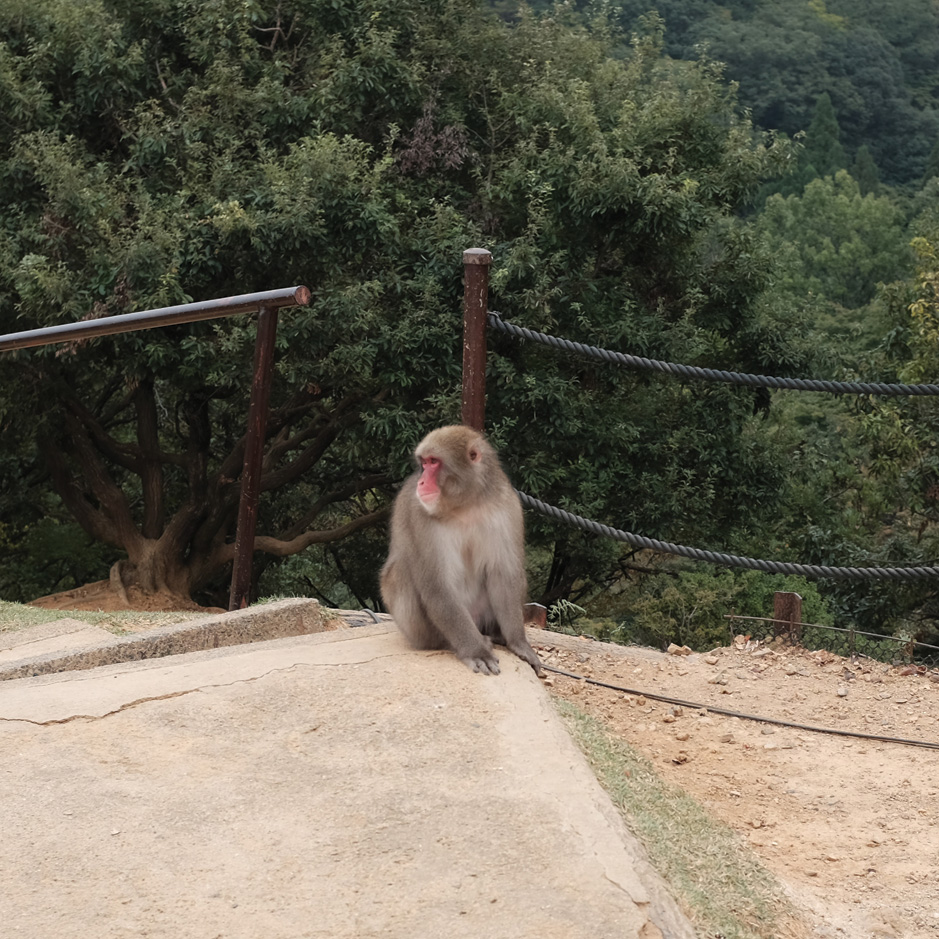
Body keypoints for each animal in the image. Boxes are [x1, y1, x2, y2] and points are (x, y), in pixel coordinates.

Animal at [380, 425, 543, 677]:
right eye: (424, 463)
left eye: (434, 462)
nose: (421, 482)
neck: (466, 504)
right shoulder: (419, 513)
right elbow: (437, 586)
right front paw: (476, 651)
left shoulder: (508, 507)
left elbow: (504, 576)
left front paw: (519, 643)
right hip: (421, 632)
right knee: (400, 571)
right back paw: (449, 642)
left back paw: (497, 635)